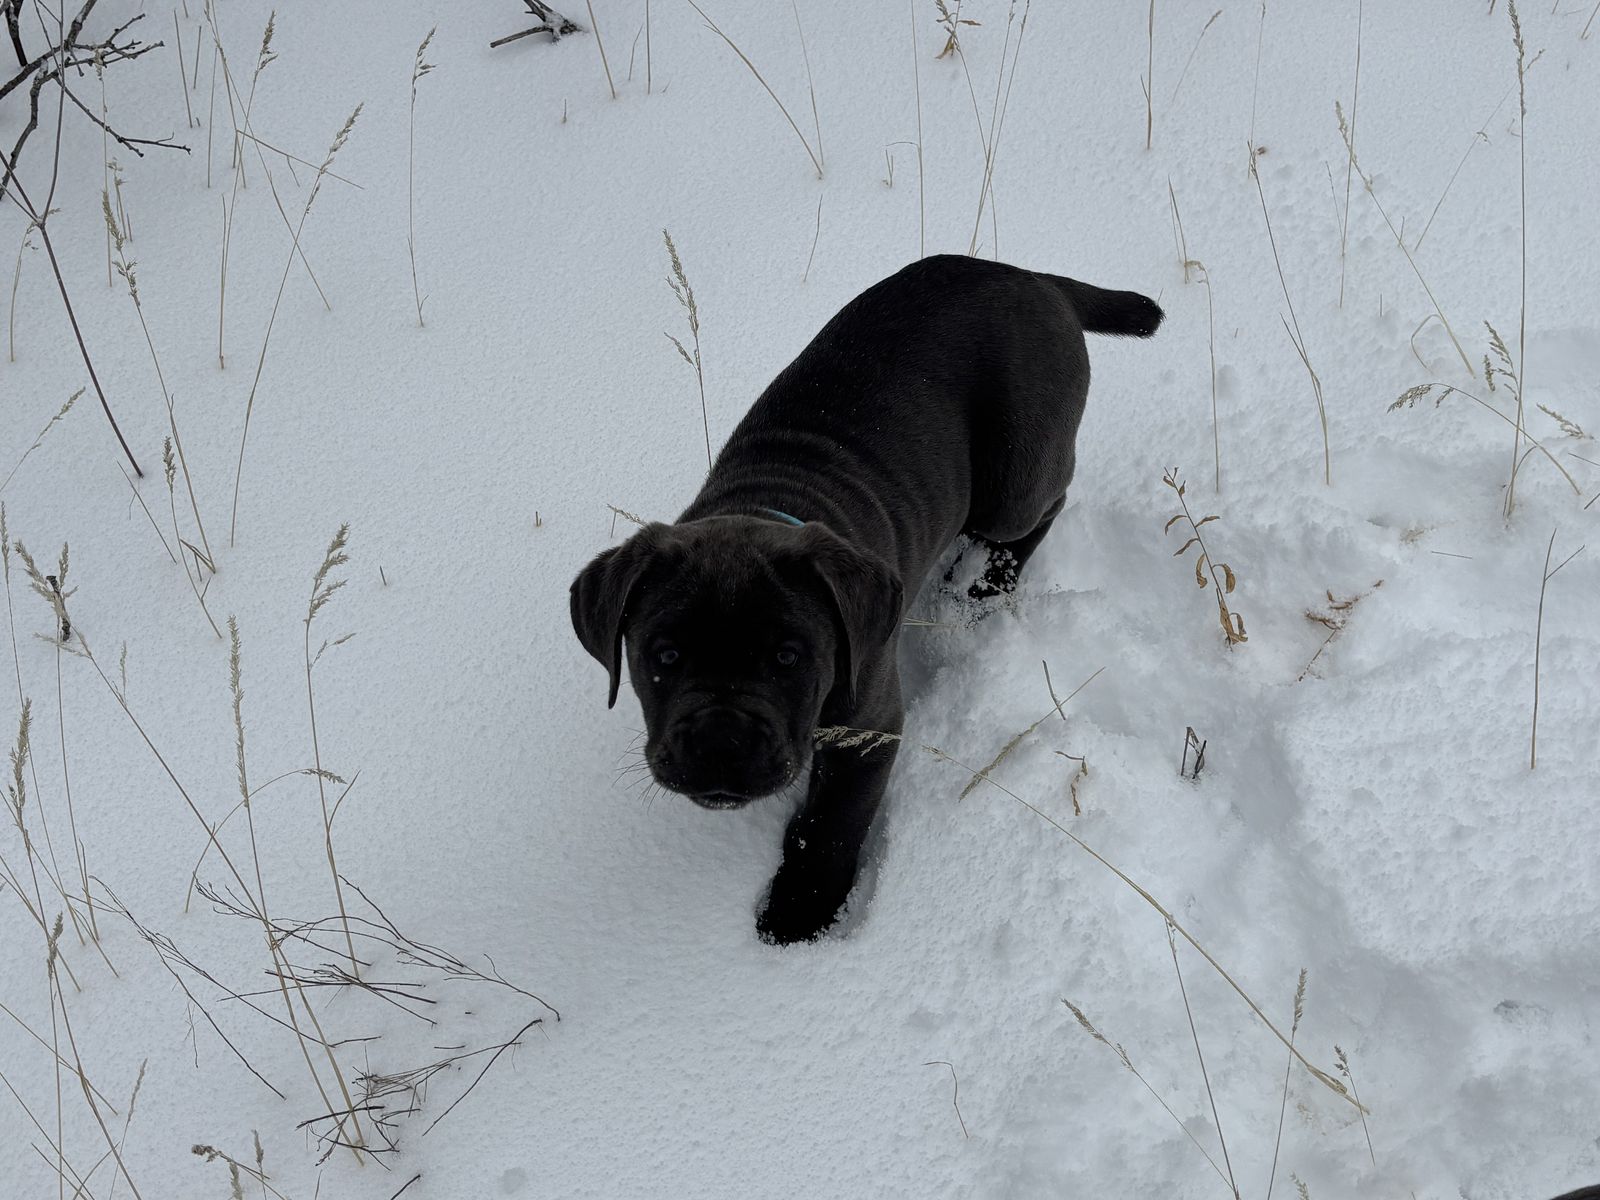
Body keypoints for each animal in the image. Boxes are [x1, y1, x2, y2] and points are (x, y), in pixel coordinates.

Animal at [571, 254, 1162, 944]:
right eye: (663, 657)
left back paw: (987, 582)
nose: (720, 742)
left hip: (1016, 475)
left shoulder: (866, 729)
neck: (766, 503)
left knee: (1044, 506)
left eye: (789, 658)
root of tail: (1034, 277)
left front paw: (800, 912)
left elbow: (830, 825)